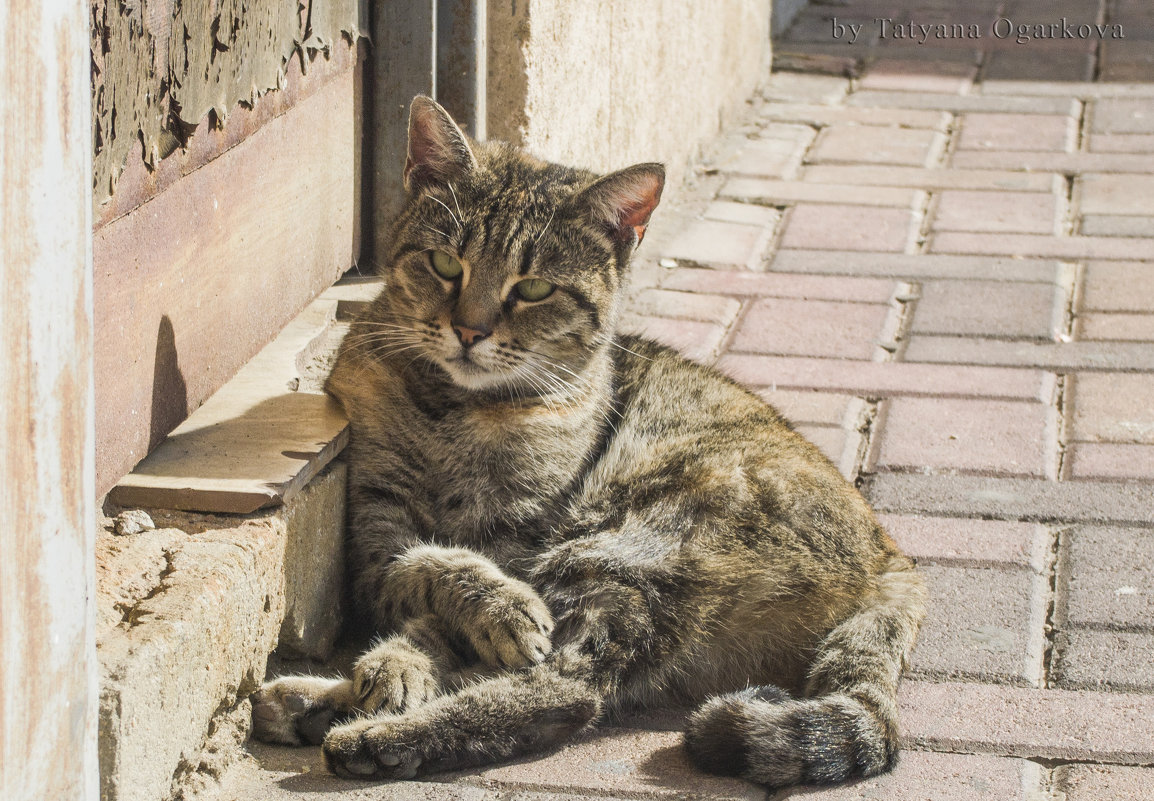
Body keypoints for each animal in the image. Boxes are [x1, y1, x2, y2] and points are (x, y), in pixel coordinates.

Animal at [255, 95, 927, 789]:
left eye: (533, 288)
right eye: (445, 265)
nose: (469, 331)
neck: (457, 413)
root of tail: (894, 557)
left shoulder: (522, 535)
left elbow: (446, 606)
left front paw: (420, 656)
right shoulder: (376, 536)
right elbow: (429, 567)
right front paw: (413, 657)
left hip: (622, 552)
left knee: (565, 690)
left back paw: (370, 735)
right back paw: (317, 702)